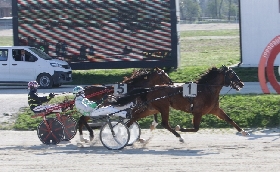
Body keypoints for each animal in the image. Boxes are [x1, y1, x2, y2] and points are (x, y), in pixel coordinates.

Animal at [114, 66, 249, 142]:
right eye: (231, 74)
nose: (242, 84)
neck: (206, 89)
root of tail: (150, 89)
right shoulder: (198, 112)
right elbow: (196, 128)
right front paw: (179, 128)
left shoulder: (215, 110)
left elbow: (229, 119)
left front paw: (243, 132)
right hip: (164, 107)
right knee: (165, 123)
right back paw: (179, 136)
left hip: (152, 108)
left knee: (134, 118)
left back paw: (125, 135)